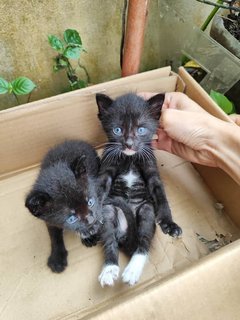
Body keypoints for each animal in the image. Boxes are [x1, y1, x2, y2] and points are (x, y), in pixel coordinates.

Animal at [24, 140, 101, 272]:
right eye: (71, 218)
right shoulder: (49, 221)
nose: (91, 219)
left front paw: (90, 234)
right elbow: (54, 236)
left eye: (90, 202)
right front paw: (57, 258)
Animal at [95, 92, 182, 288]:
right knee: (110, 241)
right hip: (110, 210)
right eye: (117, 130)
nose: (128, 144)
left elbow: (160, 193)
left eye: (141, 130)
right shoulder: (108, 164)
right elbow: (101, 185)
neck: (130, 159)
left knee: (144, 242)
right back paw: (109, 269)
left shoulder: (150, 167)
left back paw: (132, 270)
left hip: (146, 210)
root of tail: (125, 232)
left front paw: (169, 223)